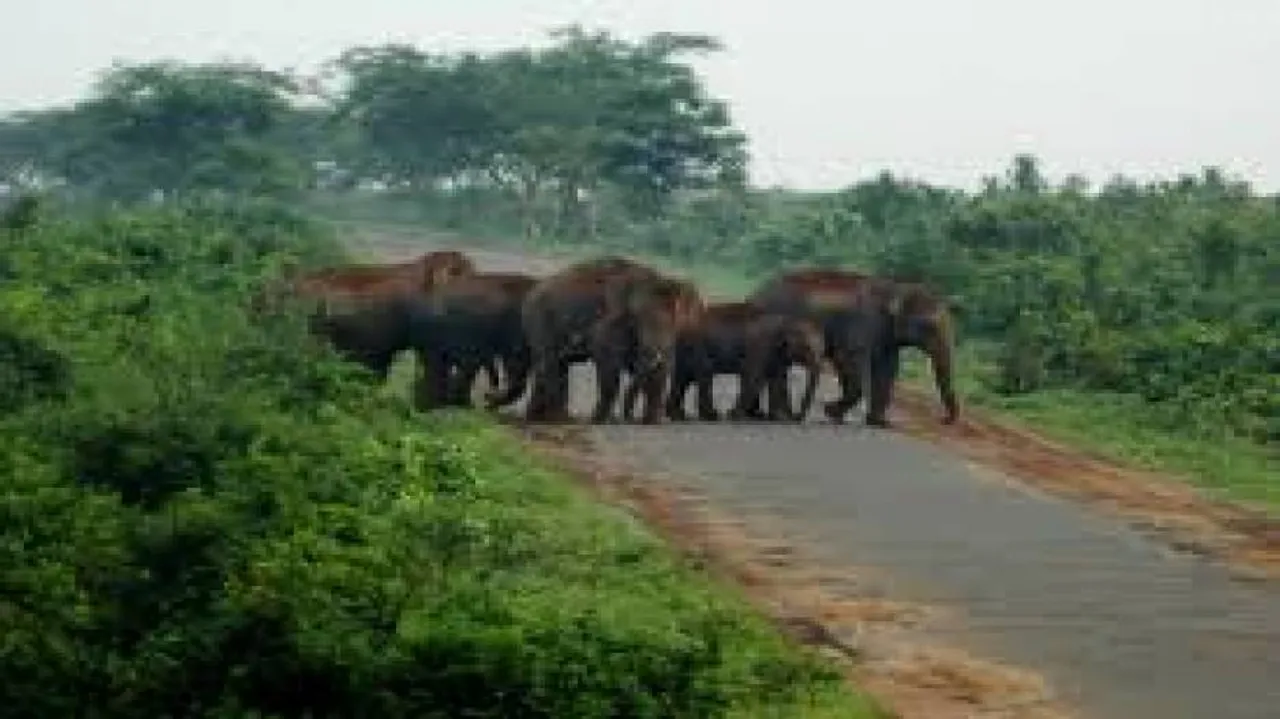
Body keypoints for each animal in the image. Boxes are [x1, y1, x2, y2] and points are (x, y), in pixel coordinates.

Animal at [520, 257, 705, 424]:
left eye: (676, 320)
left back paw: (539, 418)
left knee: (557, 365)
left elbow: (659, 368)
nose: (628, 418)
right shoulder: (611, 320)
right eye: (639, 317)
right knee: (550, 363)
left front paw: (652, 421)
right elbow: (607, 358)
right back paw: (558, 419)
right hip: (539, 320)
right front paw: (599, 420)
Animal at [622, 301, 825, 423]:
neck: (787, 320)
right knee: (703, 375)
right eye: (807, 348)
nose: (797, 417)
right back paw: (711, 416)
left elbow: (778, 380)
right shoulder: (759, 345)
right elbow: (753, 376)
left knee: (684, 379)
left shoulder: (776, 353)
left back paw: (680, 416)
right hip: (697, 347)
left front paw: (779, 418)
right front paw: (736, 416)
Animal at [748, 268, 959, 427]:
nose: (944, 420)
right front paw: (831, 411)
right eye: (929, 327)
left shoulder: (886, 335)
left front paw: (879, 423)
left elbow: (886, 369)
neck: (895, 287)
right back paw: (776, 416)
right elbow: (849, 361)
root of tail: (756, 294)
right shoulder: (862, 323)